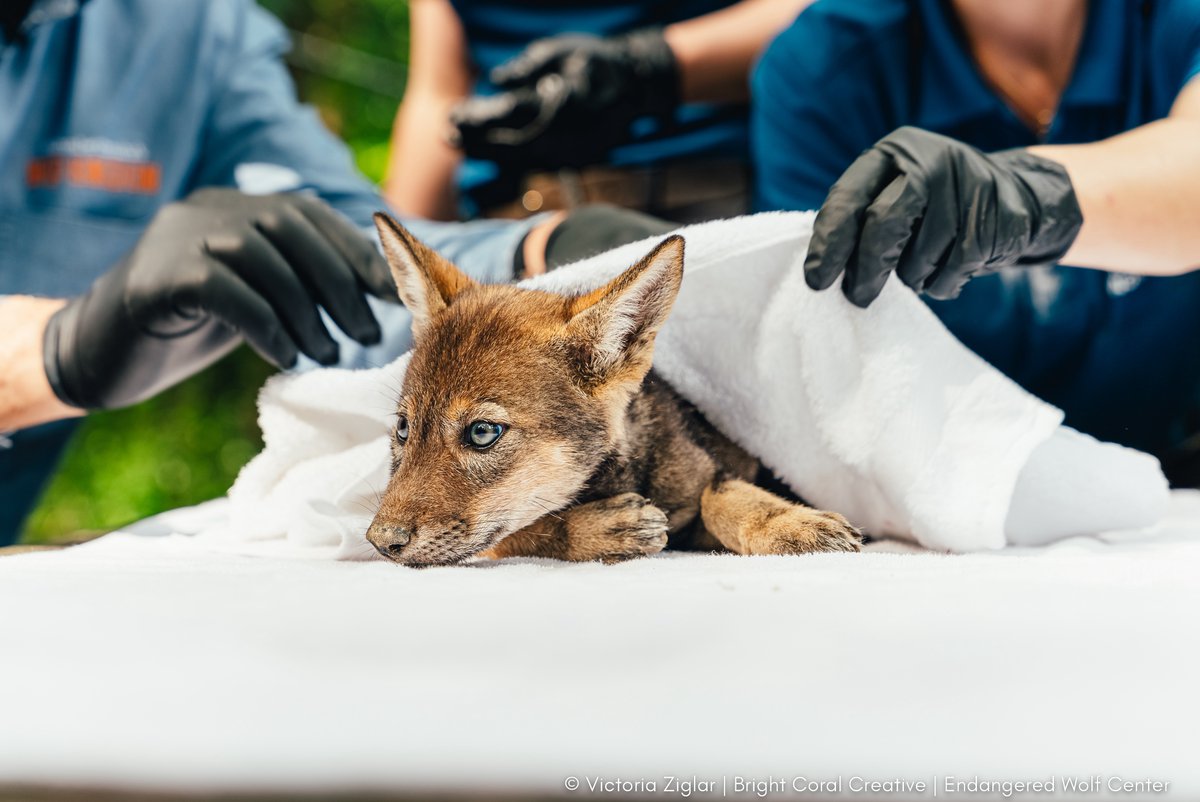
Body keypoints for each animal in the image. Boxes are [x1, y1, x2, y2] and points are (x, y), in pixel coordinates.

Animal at [366, 213, 861, 565]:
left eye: (483, 433)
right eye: (403, 429)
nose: (379, 541)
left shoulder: (711, 469)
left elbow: (723, 495)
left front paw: (791, 523)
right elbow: (528, 527)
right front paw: (597, 529)